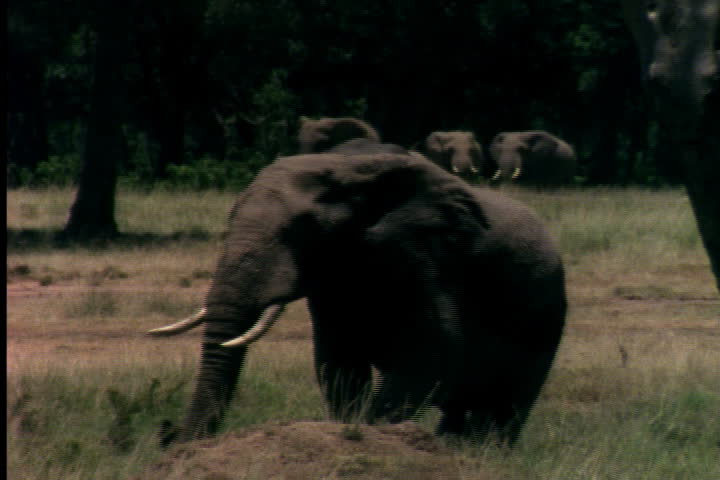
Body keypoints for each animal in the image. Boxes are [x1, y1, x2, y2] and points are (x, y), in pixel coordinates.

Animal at [148, 140, 567, 448]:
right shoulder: (335, 282)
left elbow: (432, 353)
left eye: (302, 230)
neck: (352, 169)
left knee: (503, 407)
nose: (171, 436)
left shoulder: (426, 256)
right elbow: (338, 362)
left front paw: (369, 434)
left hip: (545, 314)